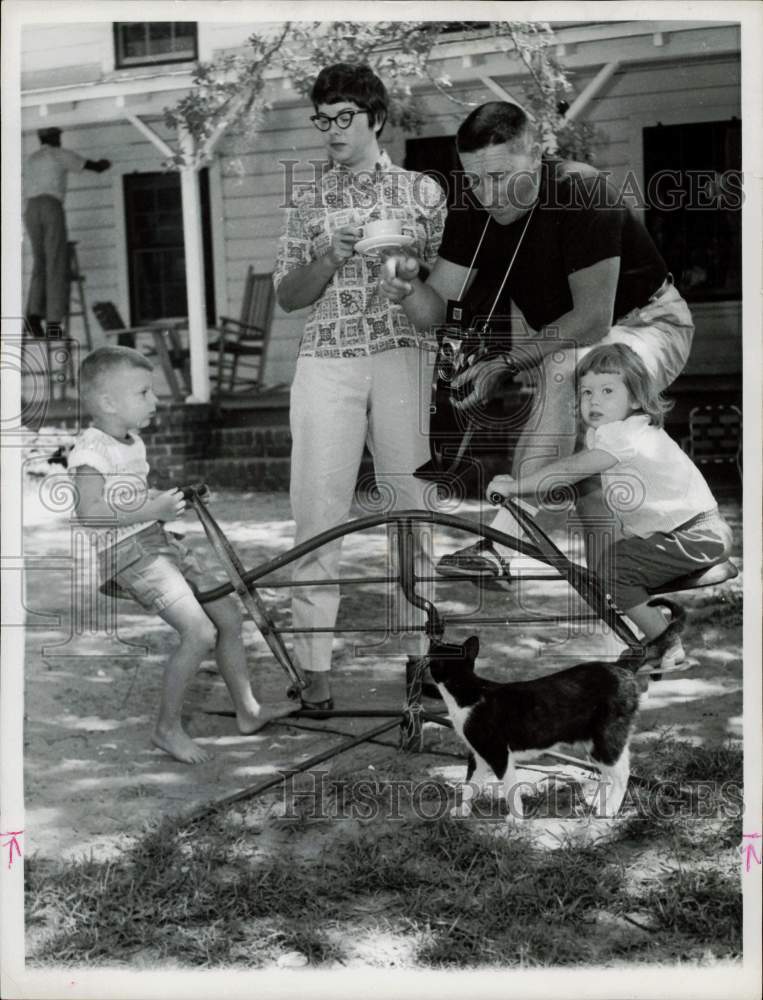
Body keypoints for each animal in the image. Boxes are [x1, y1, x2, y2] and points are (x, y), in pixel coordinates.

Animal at [426, 632, 648, 820]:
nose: (431, 642)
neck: (467, 692)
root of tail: (621, 665)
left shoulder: (498, 752)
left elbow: (509, 786)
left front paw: (516, 819)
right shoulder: (477, 754)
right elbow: (470, 784)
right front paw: (462, 810)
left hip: (605, 738)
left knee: (622, 773)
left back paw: (609, 809)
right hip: (596, 741)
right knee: (611, 770)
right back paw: (601, 802)